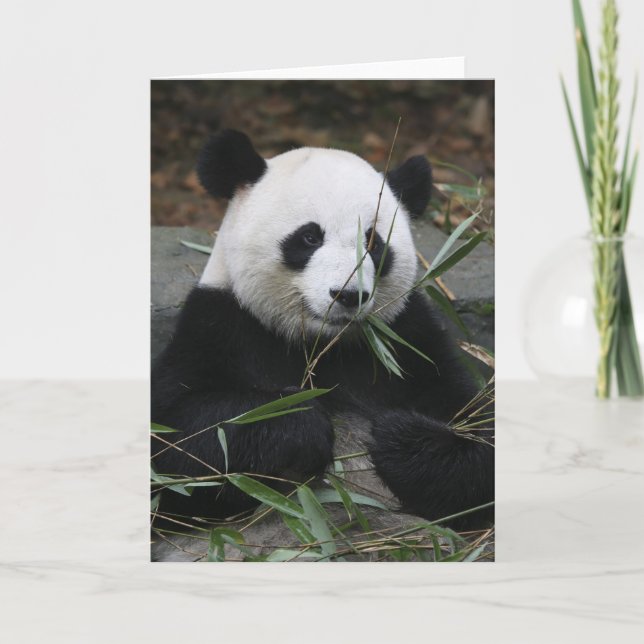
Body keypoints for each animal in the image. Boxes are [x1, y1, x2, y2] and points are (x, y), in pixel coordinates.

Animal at [151, 130, 494, 556]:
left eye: (373, 242)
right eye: (309, 237)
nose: (347, 295)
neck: (322, 345)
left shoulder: (409, 342)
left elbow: (480, 432)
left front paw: (396, 436)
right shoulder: (220, 326)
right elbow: (177, 442)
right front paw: (300, 422)